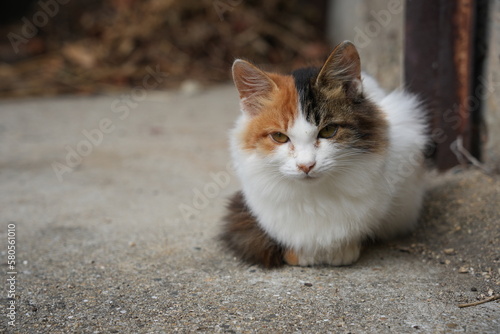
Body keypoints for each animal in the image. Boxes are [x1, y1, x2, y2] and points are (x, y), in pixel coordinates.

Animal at [221, 40, 428, 268]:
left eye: (328, 131)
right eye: (279, 137)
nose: (306, 166)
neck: (314, 196)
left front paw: (343, 251)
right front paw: (300, 255)